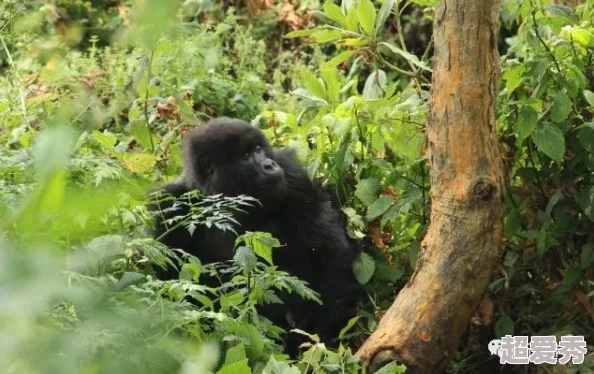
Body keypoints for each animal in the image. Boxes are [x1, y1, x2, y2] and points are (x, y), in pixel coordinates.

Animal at [150, 116, 358, 354]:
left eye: (258, 149)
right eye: (246, 157)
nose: (269, 165)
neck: (219, 195)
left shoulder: (292, 172)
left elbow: (330, 256)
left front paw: (317, 337)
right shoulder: (167, 207)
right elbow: (175, 289)